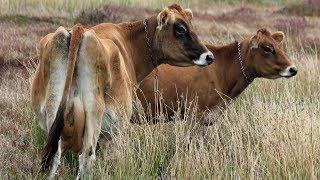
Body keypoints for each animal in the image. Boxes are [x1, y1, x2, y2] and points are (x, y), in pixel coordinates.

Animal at [31, 4, 214, 179]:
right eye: (181, 29)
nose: (209, 56)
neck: (128, 45)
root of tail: (79, 29)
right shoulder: (113, 132)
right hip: (94, 115)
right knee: (87, 158)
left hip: (53, 112)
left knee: (54, 157)